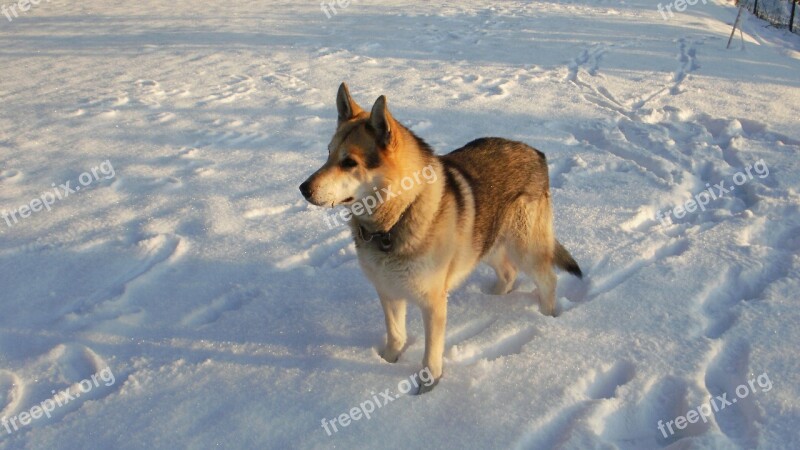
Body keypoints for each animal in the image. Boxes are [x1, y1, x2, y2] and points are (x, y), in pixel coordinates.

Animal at [300, 82, 580, 392]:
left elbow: (430, 355)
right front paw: (386, 362)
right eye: (328, 154)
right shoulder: (388, 292)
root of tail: (536, 152)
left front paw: (427, 388)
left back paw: (547, 318)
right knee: (508, 273)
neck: (395, 219)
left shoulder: (432, 303)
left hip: (523, 246)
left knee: (548, 279)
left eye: (349, 162)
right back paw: (492, 300)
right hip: (484, 241)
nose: (303, 188)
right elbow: (396, 335)